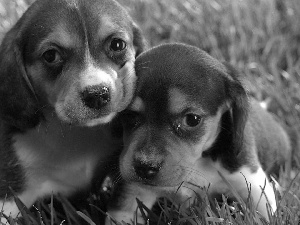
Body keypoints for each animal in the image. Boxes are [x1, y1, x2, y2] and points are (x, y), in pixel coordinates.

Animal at [106, 43, 292, 222]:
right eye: (129, 114)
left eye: (192, 119)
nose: (144, 167)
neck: (198, 162)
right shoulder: (131, 195)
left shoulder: (251, 182)